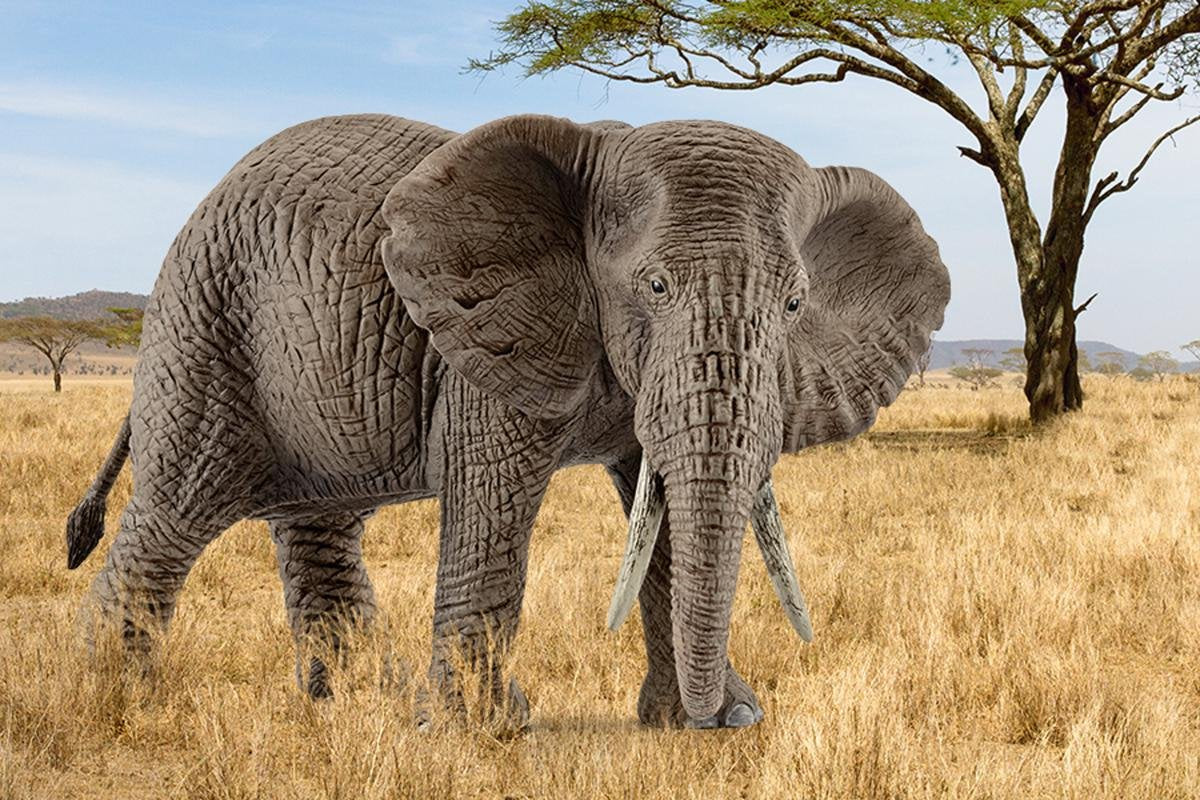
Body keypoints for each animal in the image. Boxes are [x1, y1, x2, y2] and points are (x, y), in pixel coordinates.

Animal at [66, 113, 949, 730]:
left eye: (796, 305)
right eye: (655, 287)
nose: (724, 716)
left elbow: (658, 508)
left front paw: (710, 722)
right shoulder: (485, 339)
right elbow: (494, 502)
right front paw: (482, 733)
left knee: (319, 527)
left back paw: (355, 705)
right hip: (207, 326)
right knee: (175, 513)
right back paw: (118, 705)